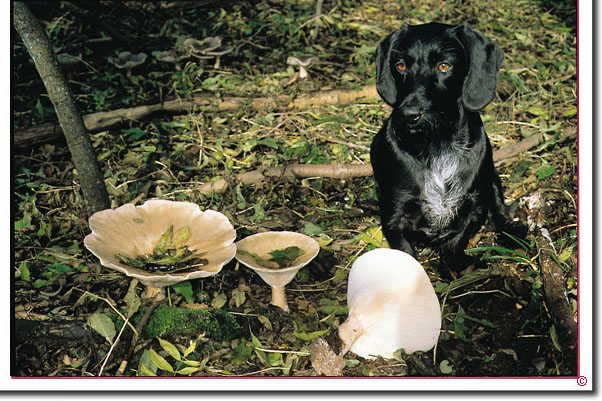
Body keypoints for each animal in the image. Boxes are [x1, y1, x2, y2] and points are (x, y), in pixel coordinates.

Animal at [368, 22, 524, 272]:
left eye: (444, 66)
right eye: (401, 65)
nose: (408, 114)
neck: (437, 143)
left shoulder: (473, 210)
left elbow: (454, 245)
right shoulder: (394, 216)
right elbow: (407, 253)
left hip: (490, 177)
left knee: (498, 204)